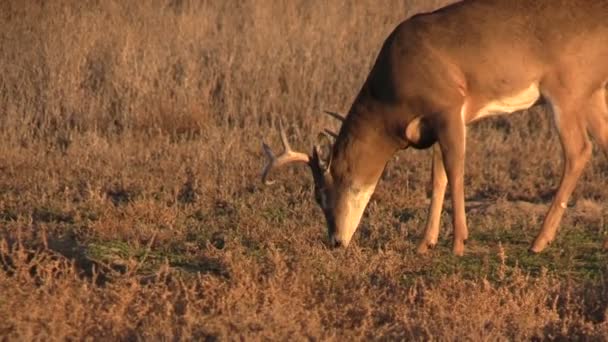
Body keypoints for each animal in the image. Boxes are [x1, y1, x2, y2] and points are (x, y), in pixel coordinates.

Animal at [262, 0, 608, 255]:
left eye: (321, 195)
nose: (335, 241)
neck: (393, 96)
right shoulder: (436, 125)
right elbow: (437, 177)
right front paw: (424, 243)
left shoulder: (448, 107)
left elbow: (454, 172)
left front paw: (458, 243)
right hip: (591, 95)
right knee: (601, 143)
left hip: (566, 90)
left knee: (579, 151)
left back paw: (539, 241)